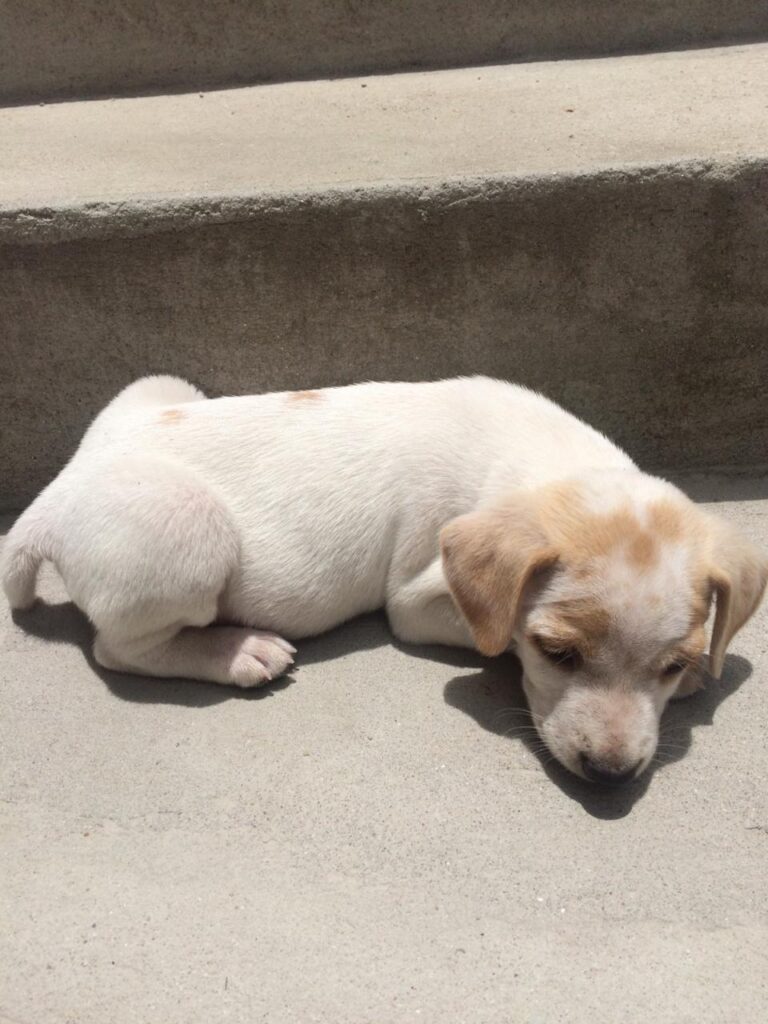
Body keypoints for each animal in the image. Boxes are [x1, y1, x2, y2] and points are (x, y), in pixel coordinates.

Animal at [3, 376, 765, 782]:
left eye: (669, 665)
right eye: (557, 653)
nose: (610, 774)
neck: (552, 467)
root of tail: (52, 498)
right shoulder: (418, 601)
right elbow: (492, 638)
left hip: (152, 391)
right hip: (187, 526)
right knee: (120, 650)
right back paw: (237, 651)